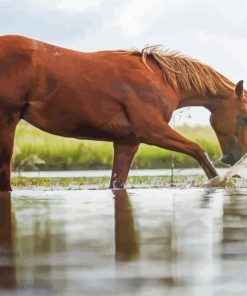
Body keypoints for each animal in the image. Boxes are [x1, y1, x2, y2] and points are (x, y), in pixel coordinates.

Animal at [0, 35, 247, 192]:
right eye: (244, 116)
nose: (236, 156)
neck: (160, 79)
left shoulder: (127, 142)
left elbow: (117, 182)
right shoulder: (154, 131)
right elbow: (198, 151)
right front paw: (221, 182)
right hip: (7, 121)